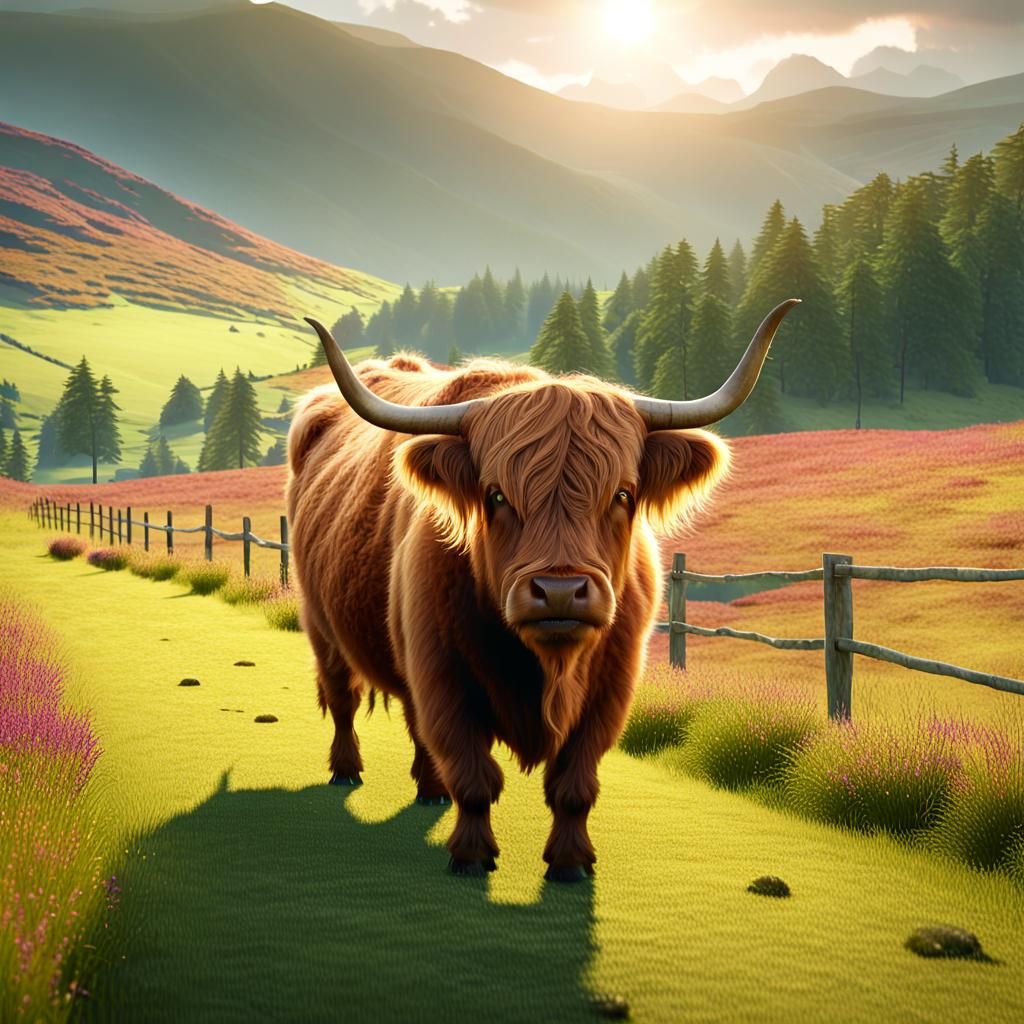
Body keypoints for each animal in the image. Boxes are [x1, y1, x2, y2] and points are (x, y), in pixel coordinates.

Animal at [286, 298, 799, 881]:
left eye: (622, 493)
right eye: (495, 495)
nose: (558, 591)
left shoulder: (609, 690)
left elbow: (574, 784)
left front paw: (572, 862)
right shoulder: (443, 675)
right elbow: (474, 775)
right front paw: (471, 855)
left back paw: (430, 789)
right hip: (322, 626)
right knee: (342, 697)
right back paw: (347, 769)